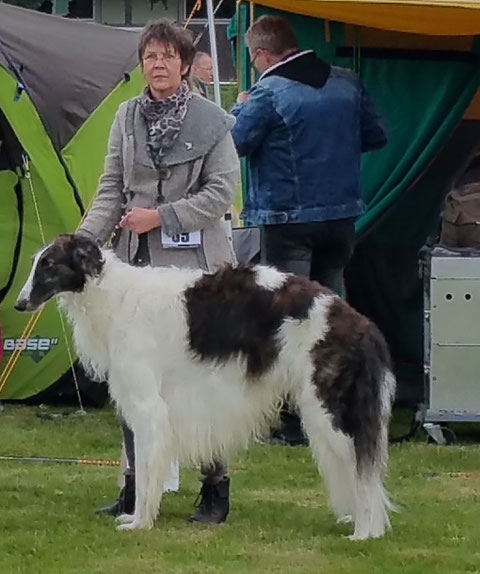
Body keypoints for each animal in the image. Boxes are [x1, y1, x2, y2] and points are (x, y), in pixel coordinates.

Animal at [15, 234, 398, 540]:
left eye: (48, 264)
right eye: (36, 262)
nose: (19, 304)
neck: (115, 297)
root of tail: (362, 323)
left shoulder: (149, 407)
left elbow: (146, 472)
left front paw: (139, 522)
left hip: (332, 413)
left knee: (364, 472)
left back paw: (365, 533)